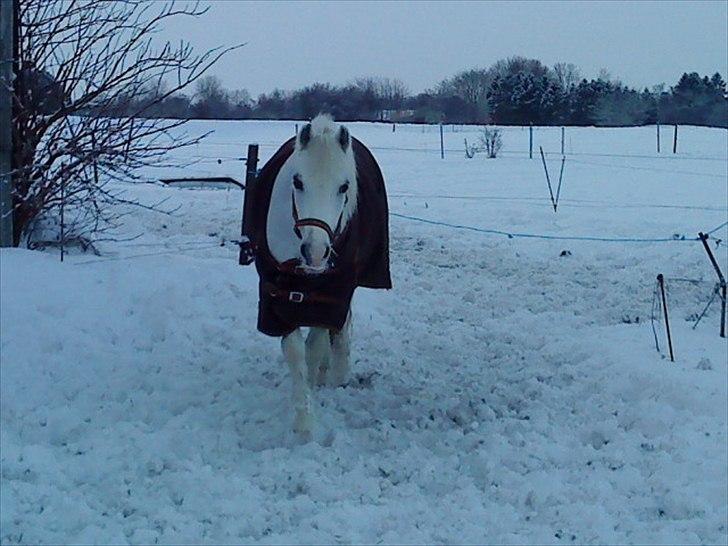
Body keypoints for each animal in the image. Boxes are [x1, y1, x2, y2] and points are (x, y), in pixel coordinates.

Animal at [246, 114, 391, 439]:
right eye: (298, 182)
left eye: (344, 186)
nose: (315, 252)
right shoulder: (276, 296)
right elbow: (297, 353)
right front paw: (304, 419)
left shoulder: (331, 295)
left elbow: (315, 347)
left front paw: (311, 402)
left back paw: (336, 372)